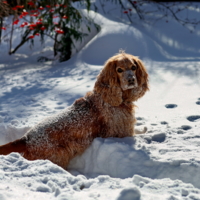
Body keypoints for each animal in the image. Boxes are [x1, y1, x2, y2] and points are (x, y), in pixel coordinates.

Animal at [0, 52, 148, 168]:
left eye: (133, 67)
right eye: (119, 70)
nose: (131, 80)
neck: (112, 98)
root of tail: (26, 138)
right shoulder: (122, 132)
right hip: (60, 153)